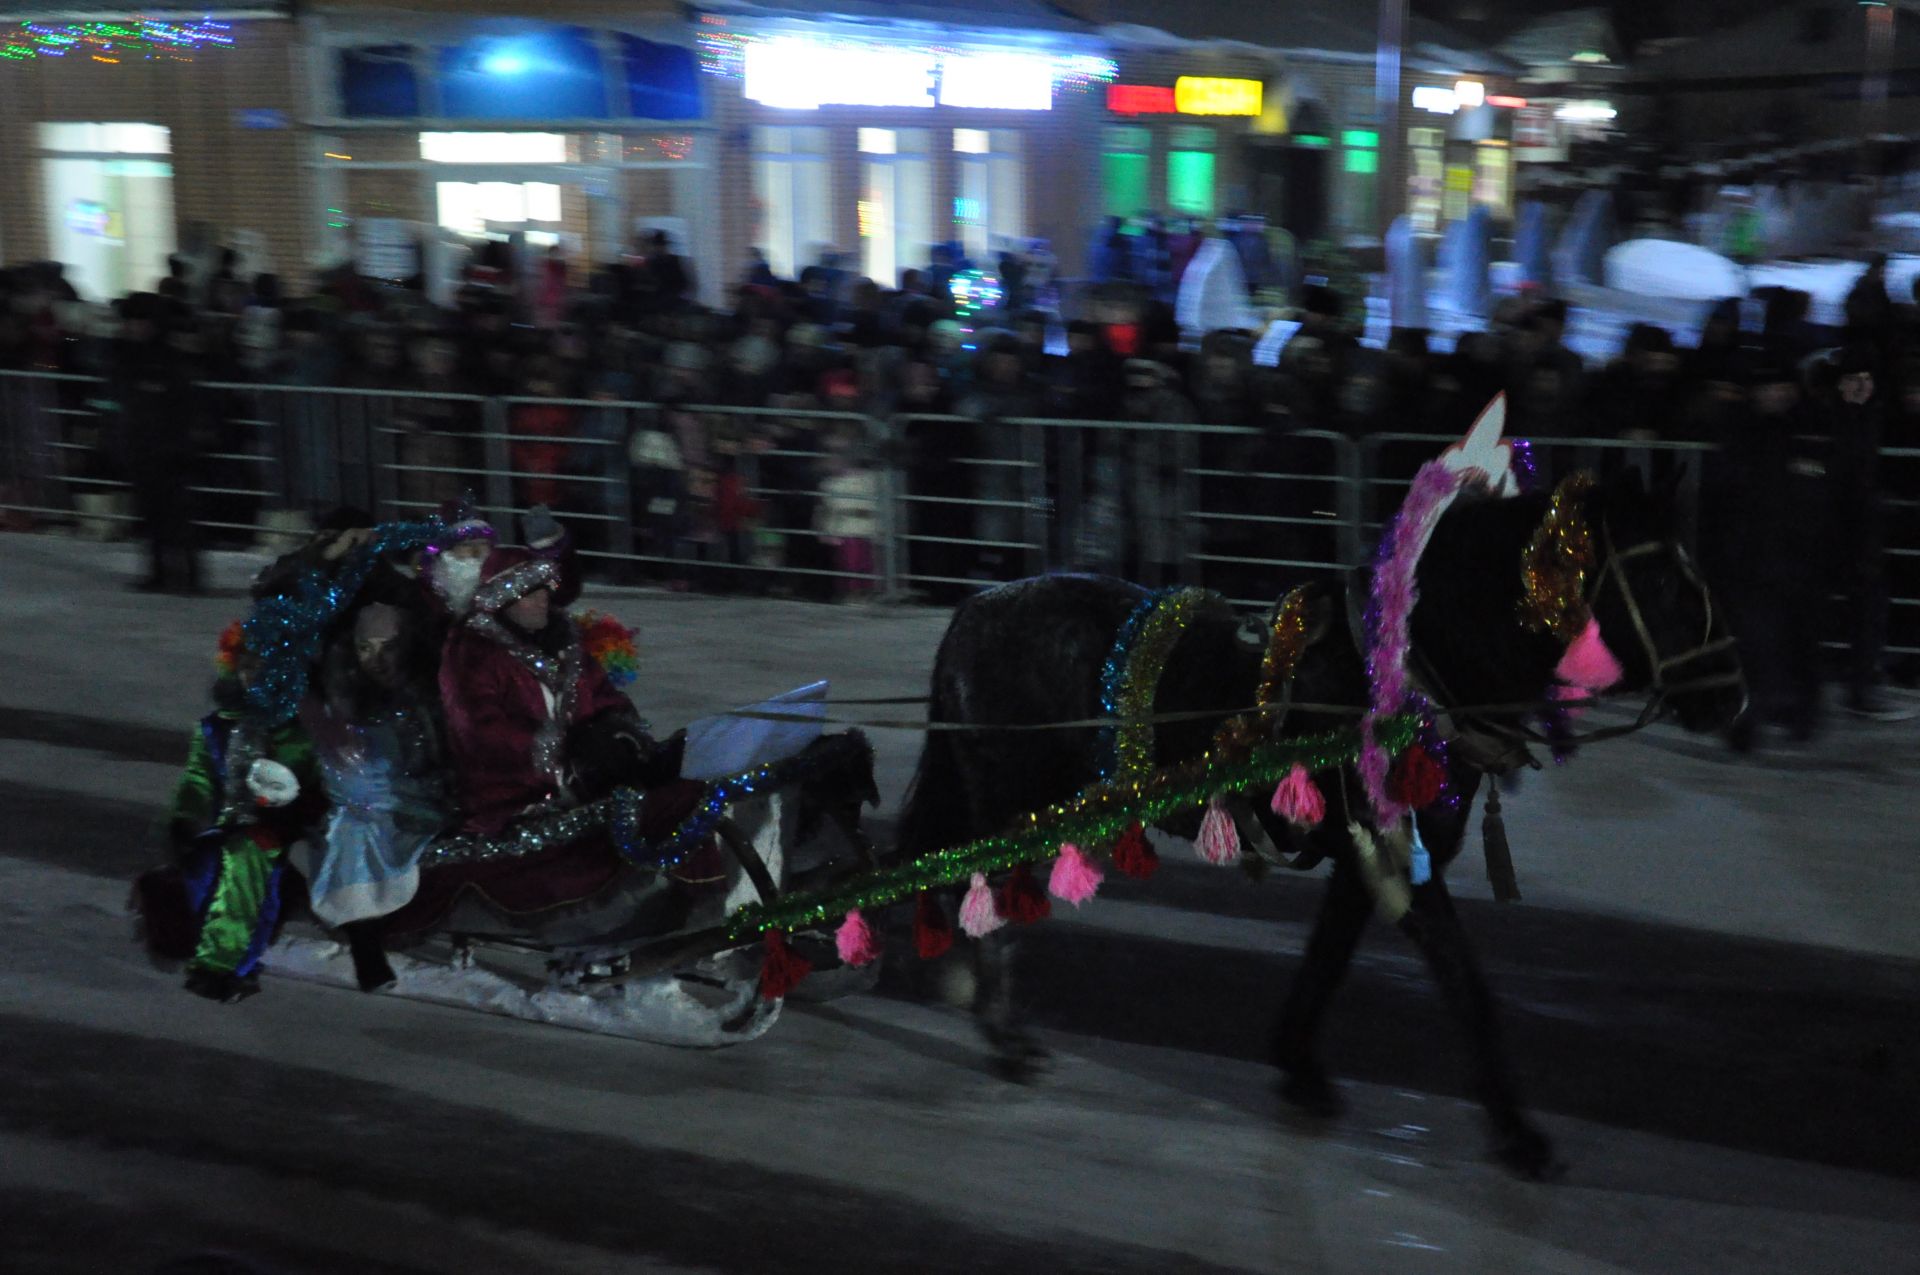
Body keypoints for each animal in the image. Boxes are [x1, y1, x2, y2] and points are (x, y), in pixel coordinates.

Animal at [890, 466, 1751, 1175]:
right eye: (1662, 577)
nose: (1735, 695)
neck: (1416, 676)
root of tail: (973, 610)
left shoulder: (1369, 856)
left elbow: (1329, 957)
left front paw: (1299, 1065)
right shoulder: (1399, 855)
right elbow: (1466, 983)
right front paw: (1519, 1133)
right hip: (1011, 807)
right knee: (987, 899)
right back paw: (1005, 1034)